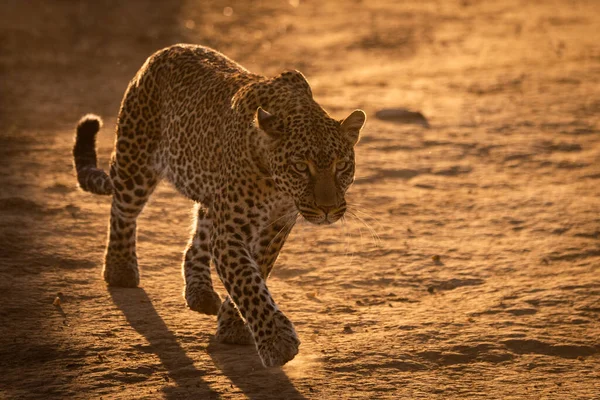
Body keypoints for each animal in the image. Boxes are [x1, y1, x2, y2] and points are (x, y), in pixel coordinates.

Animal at [74, 43, 366, 366]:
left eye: (342, 165)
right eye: (301, 167)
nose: (328, 209)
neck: (276, 186)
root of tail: (165, 51)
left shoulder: (274, 227)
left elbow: (257, 271)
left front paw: (234, 326)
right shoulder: (231, 232)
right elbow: (246, 281)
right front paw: (276, 342)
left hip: (210, 198)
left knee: (196, 241)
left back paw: (199, 292)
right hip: (135, 160)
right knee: (122, 211)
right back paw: (120, 268)